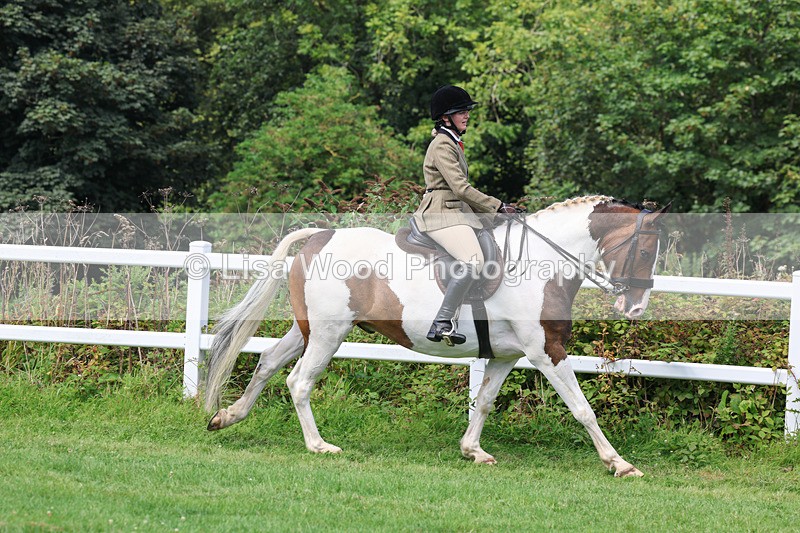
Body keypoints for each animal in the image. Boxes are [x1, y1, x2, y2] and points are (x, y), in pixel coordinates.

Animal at [204, 195, 669, 477]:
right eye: (646, 251)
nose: (635, 308)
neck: (542, 263)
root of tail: (320, 236)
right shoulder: (545, 351)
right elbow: (582, 409)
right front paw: (619, 463)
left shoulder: (506, 355)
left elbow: (483, 402)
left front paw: (473, 451)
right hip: (328, 334)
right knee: (299, 381)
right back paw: (319, 446)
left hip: (309, 330)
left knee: (268, 362)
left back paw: (228, 416)